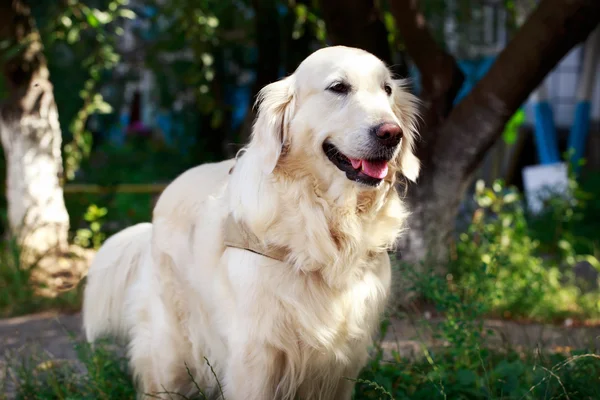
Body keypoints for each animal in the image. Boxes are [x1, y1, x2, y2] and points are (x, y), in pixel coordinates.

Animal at [83, 45, 422, 398]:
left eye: (387, 90)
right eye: (338, 87)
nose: (391, 133)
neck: (325, 218)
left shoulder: (343, 363)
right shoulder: (254, 354)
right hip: (169, 352)